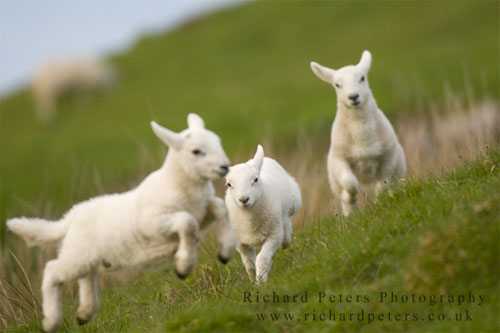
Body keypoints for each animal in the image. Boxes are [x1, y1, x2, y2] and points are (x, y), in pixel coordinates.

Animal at [5, 113, 236, 330]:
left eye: (218, 141)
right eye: (196, 151)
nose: (225, 167)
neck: (178, 183)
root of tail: (71, 216)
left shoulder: (202, 214)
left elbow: (219, 207)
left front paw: (225, 251)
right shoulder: (153, 223)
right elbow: (186, 222)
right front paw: (183, 265)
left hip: (86, 256)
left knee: (86, 277)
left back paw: (85, 313)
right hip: (78, 254)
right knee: (52, 270)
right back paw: (51, 321)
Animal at [226, 145, 300, 282]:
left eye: (255, 179)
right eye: (229, 184)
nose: (244, 199)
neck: (250, 221)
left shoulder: (274, 236)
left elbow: (262, 259)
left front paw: (261, 280)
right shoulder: (240, 243)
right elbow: (250, 264)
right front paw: (253, 280)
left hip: (293, 201)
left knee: (286, 222)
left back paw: (286, 239)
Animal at [310, 50, 408, 215]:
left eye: (362, 78)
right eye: (337, 85)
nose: (353, 96)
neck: (362, 136)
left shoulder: (387, 158)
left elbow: (382, 186)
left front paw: (379, 203)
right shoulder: (340, 159)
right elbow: (350, 183)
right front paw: (350, 199)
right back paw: (350, 213)